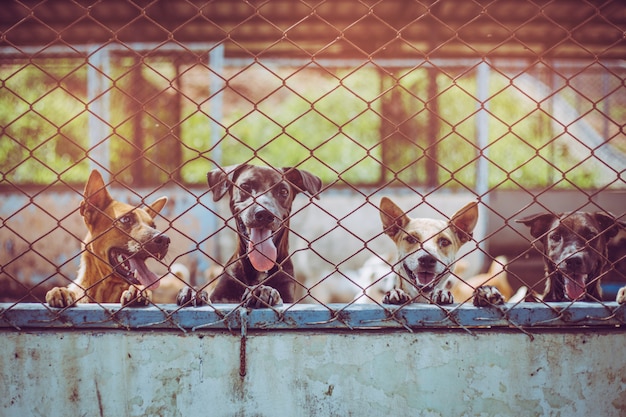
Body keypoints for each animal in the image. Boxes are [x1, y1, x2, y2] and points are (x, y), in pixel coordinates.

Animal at [45, 168, 169, 306]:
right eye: (126, 219)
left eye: (153, 225)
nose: (165, 240)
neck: (106, 288)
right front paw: (60, 291)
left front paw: (138, 291)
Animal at [177, 164, 320, 308]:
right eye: (245, 186)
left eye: (284, 191)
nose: (264, 214)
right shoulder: (221, 297)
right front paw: (194, 291)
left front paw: (264, 291)